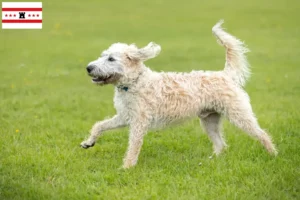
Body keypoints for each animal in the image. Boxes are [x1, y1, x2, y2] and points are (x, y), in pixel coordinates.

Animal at [79, 20, 276, 168]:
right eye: (102, 55)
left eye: (111, 59)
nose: (89, 68)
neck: (133, 83)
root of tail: (225, 74)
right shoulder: (124, 117)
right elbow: (99, 125)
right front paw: (89, 142)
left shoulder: (139, 123)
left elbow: (133, 147)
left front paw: (126, 167)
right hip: (209, 120)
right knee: (221, 144)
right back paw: (213, 160)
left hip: (239, 115)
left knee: (262, 134)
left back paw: (273, 154)